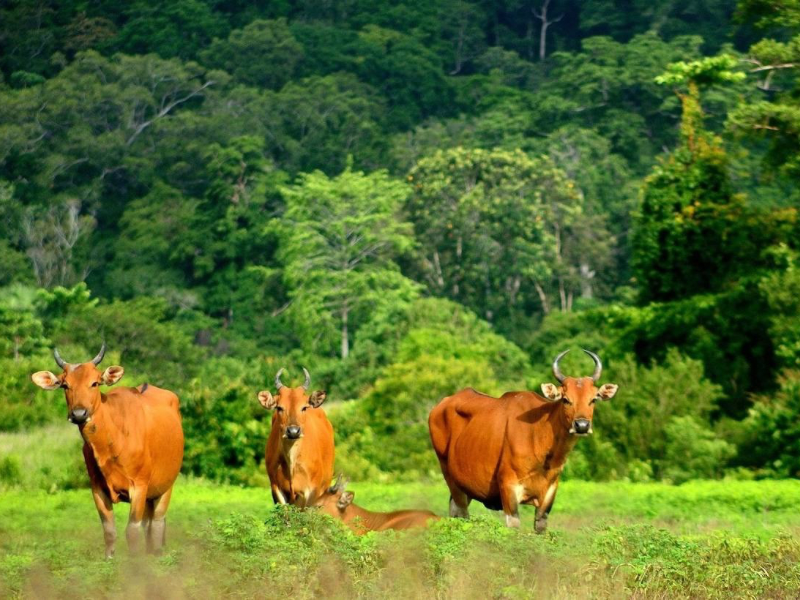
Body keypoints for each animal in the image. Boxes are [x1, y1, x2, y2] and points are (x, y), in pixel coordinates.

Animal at [30, 342, 184, 556]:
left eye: (94, 383)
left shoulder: (139, 486)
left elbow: (132, 531)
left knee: (157, 524)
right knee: (148, 524)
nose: (79, 413)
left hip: (166, 486)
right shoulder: (98, 489)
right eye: (65, 385)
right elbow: (109, 531)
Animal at [428, 350, 616, 532]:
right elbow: (514, 526)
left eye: (593, 399)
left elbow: (540, 526)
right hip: (451, 478)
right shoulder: (508, 487)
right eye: (565, 399)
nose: (582, 425)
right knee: (461, 513)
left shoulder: (549, 492)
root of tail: (439, 406)